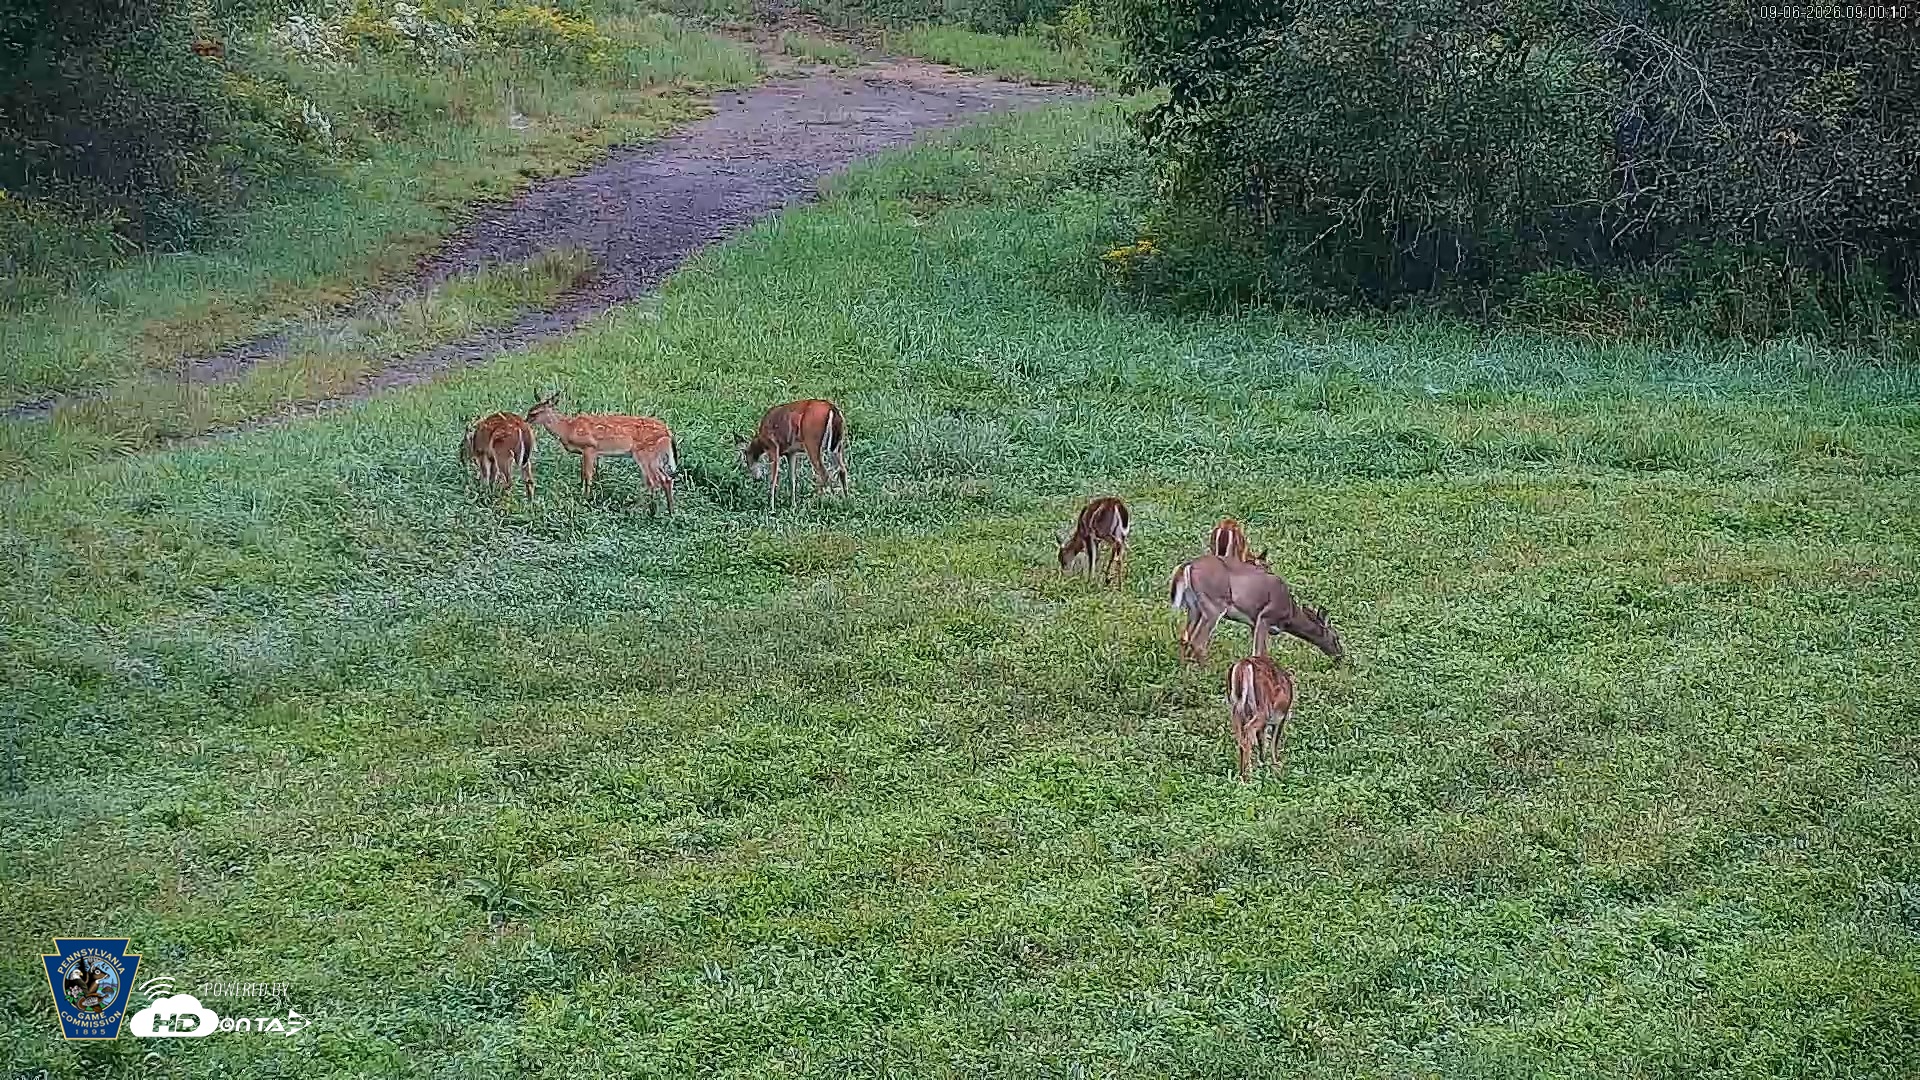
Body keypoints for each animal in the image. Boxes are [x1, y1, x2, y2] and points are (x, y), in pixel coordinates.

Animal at [525, 392, 677, 512]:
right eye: (529, 411)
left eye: (534, 413)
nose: (525, 422)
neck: (567, 428)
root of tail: (668, 433)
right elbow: (583, 474)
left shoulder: (590, 447)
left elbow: (587, 475)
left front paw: (586, 499)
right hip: (654, 456)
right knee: (664, 479)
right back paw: (668, 511)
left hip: (645, 453)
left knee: (656, 480)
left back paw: (649, 510)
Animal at [1169, 554, 1344, 664]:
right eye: (1336, 637)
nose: (1340, 655)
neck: (1290, 614)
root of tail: (1188, 566)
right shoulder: (1265, 617)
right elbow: (1259, 653)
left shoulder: (1253, 623)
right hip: (1214, 604)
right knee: (1198, 642)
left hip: (1194, 606)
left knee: (1185, 637)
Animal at [1228, 617, 1295, 781]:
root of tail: (1244, 666)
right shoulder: (1280, 717)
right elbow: (1274, 742)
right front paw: (1277, 766)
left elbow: (1262, 741)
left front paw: (1263, 763)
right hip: (1262, 709)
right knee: (1248, 733)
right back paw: (1249, 777)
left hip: (1236, 710)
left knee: (1241, 738)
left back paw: (1243, 773)